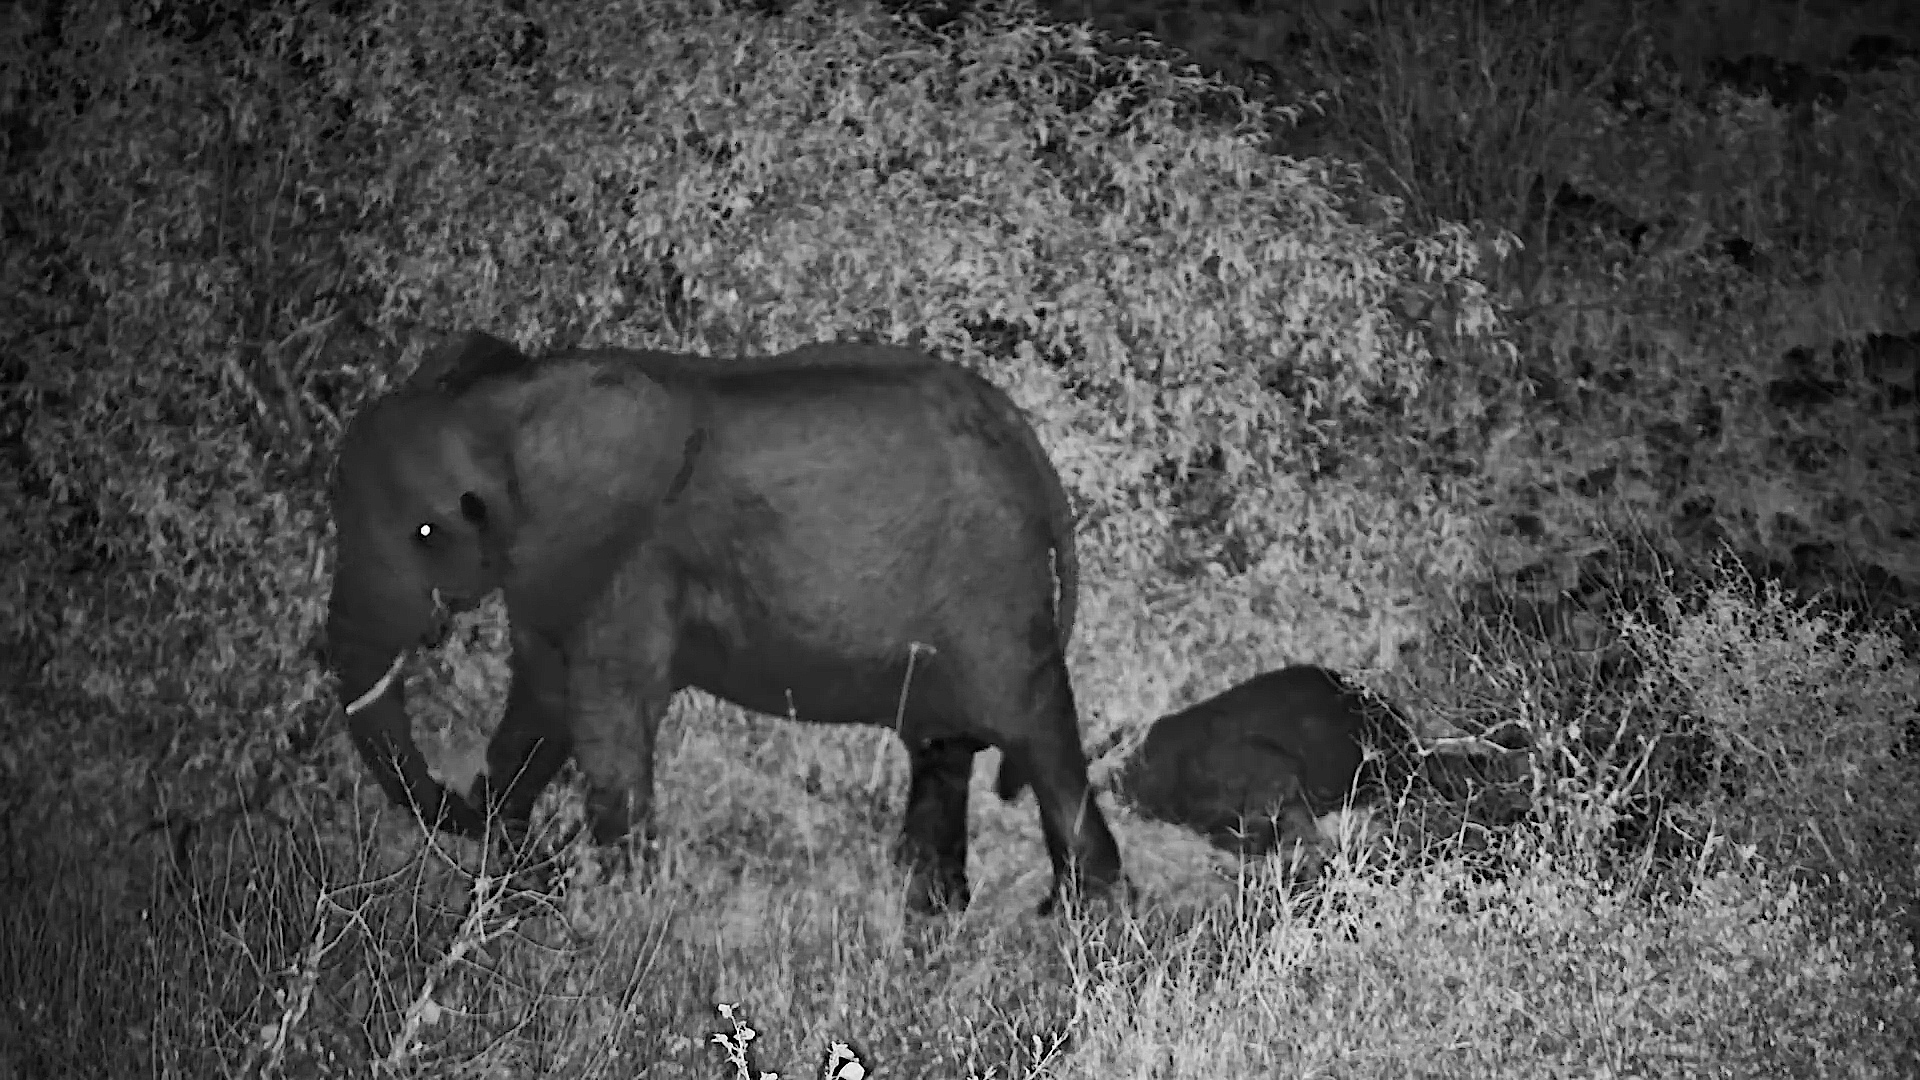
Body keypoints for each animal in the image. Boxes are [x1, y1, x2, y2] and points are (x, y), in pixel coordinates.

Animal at [323, 330, 1126, 916]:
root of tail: (1025, 441)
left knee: (1037, 733)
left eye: (426, 533)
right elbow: (543, 705)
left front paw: (614, 920)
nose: (456, 799)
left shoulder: (627, 558)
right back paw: (935, 914)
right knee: (942, 749)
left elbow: (605, 714)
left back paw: (1080, 919)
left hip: (994, 587)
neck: (508, 402)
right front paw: (515, 882)